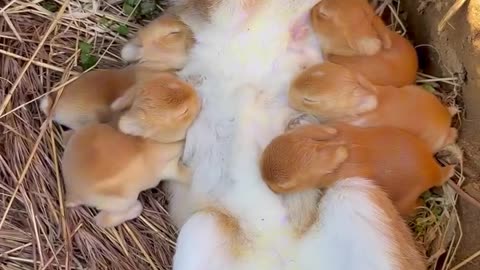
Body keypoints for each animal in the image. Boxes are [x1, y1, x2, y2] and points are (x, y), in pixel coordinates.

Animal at [62, 75, 201, 229]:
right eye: (184, 111)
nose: (197, 96)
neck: (153, 140)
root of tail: (72, 193)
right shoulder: (170, 168)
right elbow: (186, 175)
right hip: (122, 200)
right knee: (102, 220)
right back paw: (136, 208)